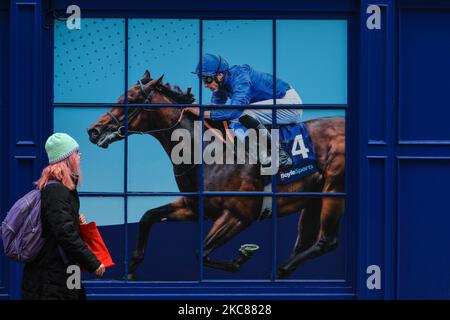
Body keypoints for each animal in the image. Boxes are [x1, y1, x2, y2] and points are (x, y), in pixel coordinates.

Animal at [89, 70, 348, 280]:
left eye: (130, 101)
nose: (94, 130)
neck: (207, 152)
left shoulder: (238, 215)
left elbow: (201, 253)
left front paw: (242, 256)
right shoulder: (193, 208)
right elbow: (147, 217)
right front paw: (132, 268)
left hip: (334, 188)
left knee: (327, 242)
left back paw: (280, 270)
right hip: (312, 199)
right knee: (306, 242)